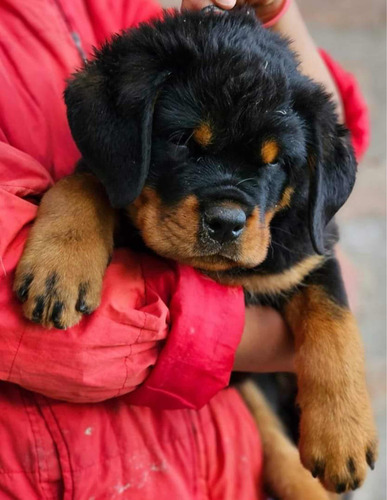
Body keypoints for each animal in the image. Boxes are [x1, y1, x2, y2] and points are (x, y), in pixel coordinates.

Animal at [15, 6, 378, 496]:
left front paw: (343, 434)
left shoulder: (309, 251)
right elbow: (88, 182)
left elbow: (334, 317)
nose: (227, 223)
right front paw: (60, 268)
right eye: (184, 141)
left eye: (276, 162)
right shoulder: (111, 168)